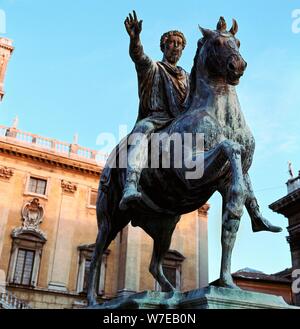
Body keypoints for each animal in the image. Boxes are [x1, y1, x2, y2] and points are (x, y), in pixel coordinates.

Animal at [86, 18, 278, 304]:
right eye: (218, 42)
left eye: (238, 42)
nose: (238, 65)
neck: (219, 115)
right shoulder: (190, 171)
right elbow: (229, 147)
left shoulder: (231, 176)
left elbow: (230, 225)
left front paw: (227, 283)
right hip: (110, 219)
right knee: (97, 255)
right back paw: (92, 299)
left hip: (164, 225)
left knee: (154, 265)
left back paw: (170, 294)